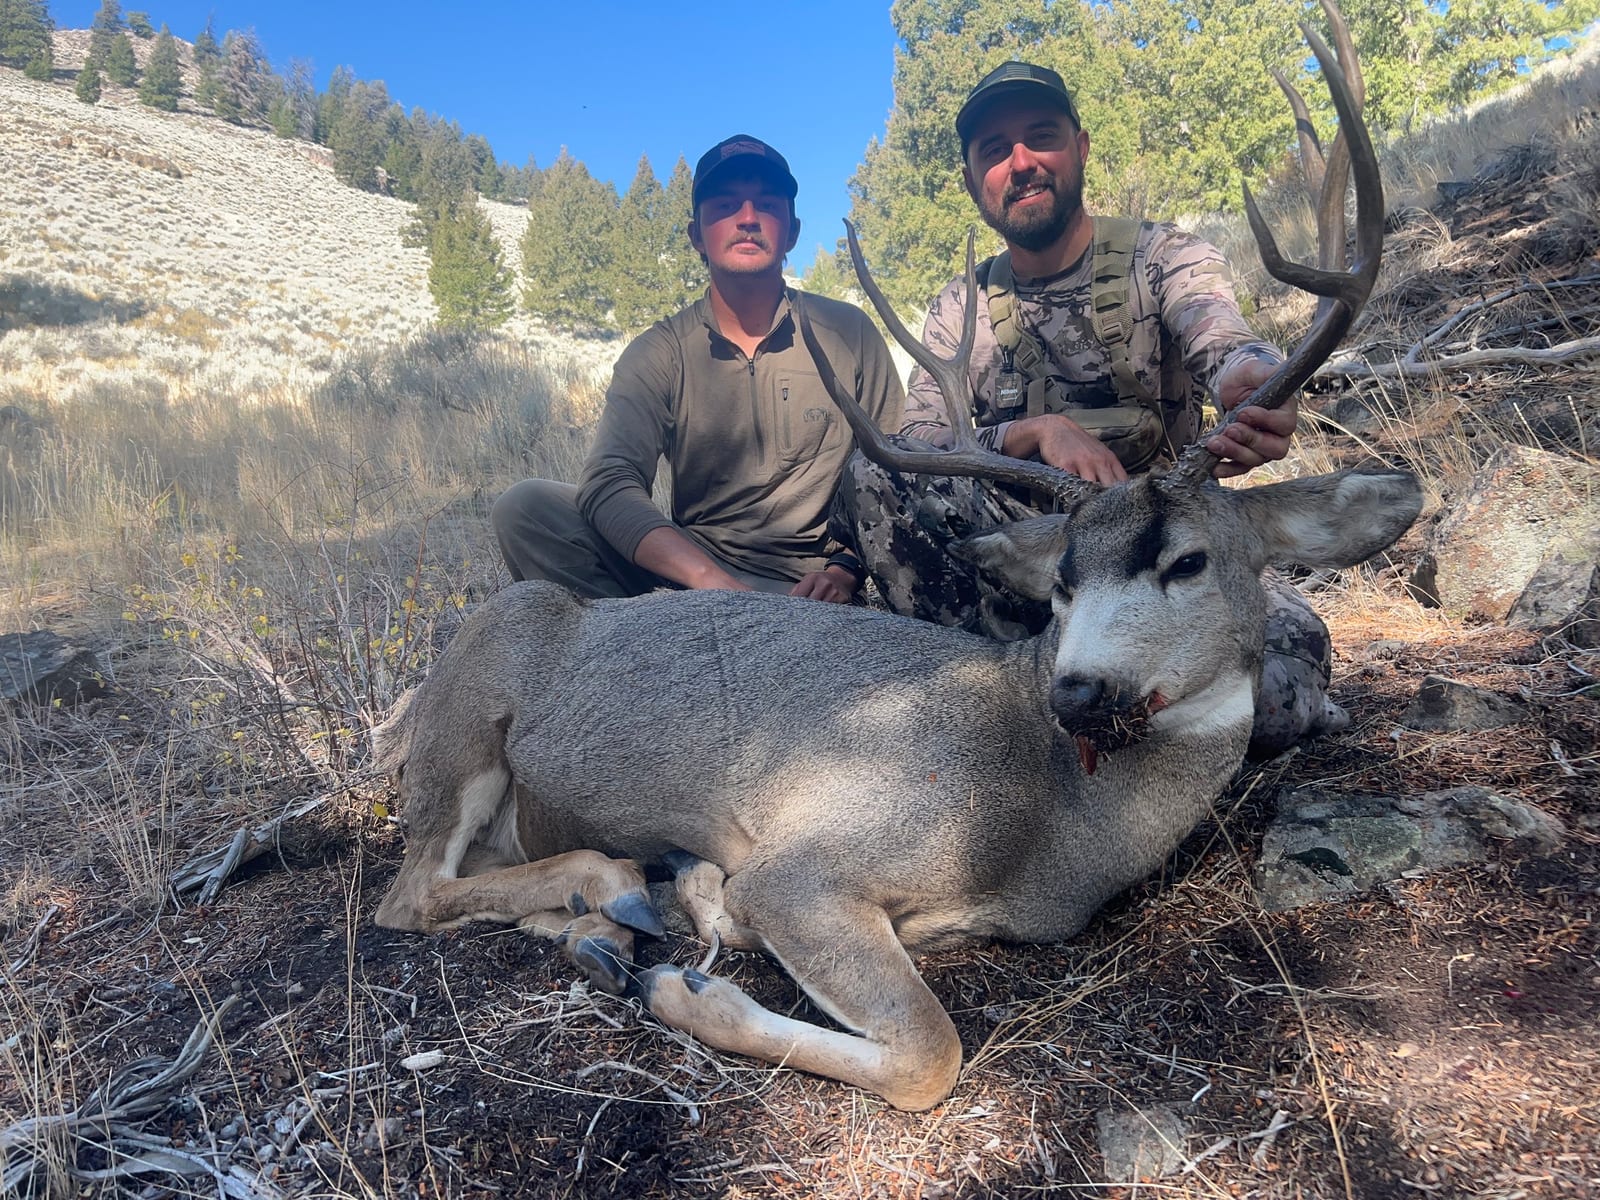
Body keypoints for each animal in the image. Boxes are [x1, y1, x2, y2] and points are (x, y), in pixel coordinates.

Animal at [369, 5, 1419, 1111]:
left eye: (1186, 560)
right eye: (1062, 583)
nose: (1077, 690)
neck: (1051, 828)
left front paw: (678, 918)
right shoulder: (810, 860)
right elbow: (928, 1051)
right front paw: (685, 978)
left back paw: (603, 923)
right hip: (470, 715)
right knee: (410, 892)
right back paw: (609, 888)